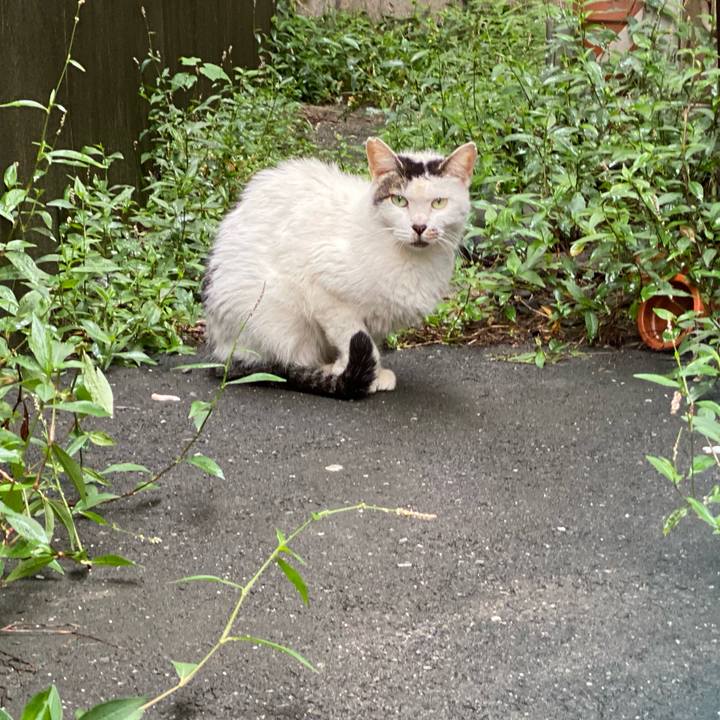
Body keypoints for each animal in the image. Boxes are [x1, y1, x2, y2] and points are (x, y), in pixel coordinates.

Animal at [202, 136, 477, 399]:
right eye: (400, 200)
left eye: (438, 203)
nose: (419, 226)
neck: (413, 260)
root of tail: (220, 351)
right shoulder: (323, 291)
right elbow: (351, 335)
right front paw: (355, 373)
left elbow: (370, 340)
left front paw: (372, 371)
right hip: (274, 313)